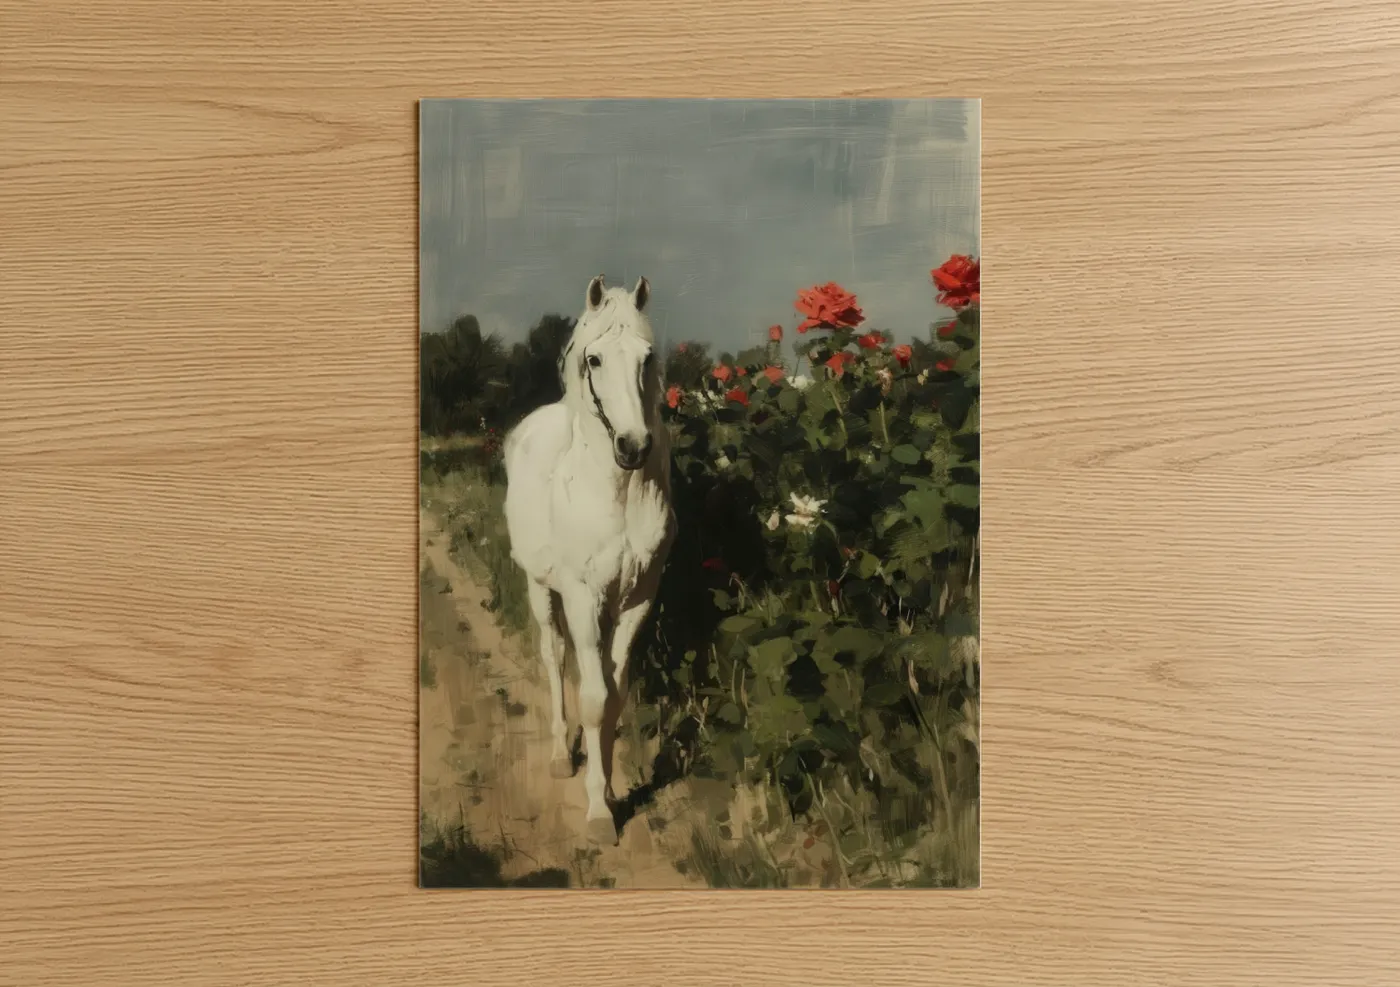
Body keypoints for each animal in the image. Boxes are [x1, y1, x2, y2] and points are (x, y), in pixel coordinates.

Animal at [502, 273, 676, 845]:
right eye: (594, 359)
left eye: (647, 357)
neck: (617, 495)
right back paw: (561, 755)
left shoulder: (637, 600)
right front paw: (599, 813)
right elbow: (594, 700)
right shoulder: (582, 596)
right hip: (542, 589)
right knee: (555, 659)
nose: (634, 446)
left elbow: (615, 697)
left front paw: (613, 791)